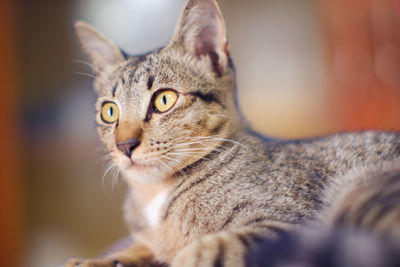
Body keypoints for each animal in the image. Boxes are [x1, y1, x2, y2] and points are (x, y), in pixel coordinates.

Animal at [67, 0, 400, 266]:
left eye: (164, 100)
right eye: (109, 112)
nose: (124, 145)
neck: (155, 194)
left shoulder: (291, 226)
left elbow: (213, 246)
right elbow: (136, 249)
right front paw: (96, 260)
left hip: (360, 191)